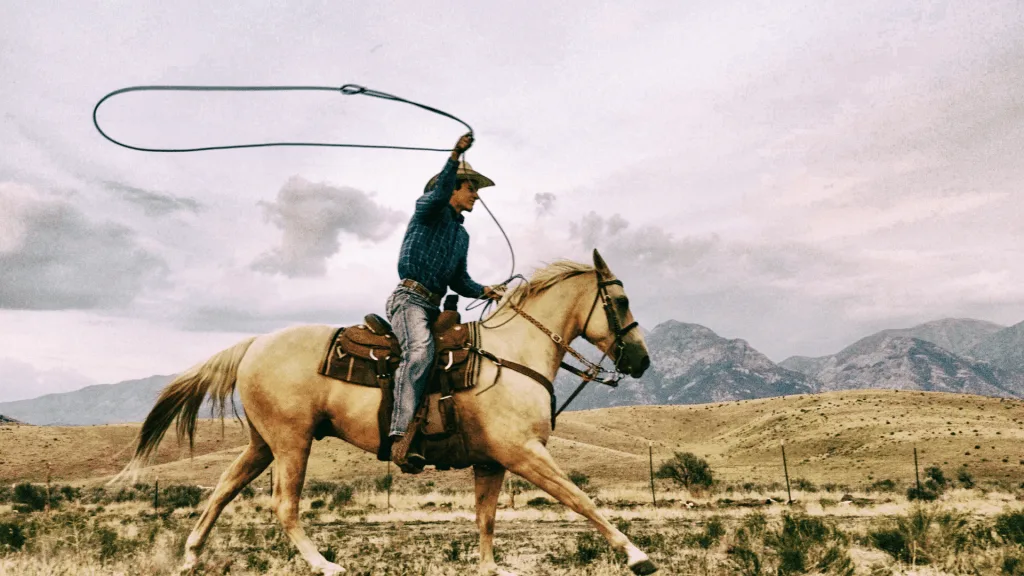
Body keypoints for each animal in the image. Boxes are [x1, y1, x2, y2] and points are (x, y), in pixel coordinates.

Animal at [116, 250, 651, 573]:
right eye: (621, 300)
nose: (642, 361)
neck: (512, 354)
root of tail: (254, 344)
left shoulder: (491, 462)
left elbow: (486, 520)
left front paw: (489, 568)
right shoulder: (524, 453)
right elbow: (581, 501)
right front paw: (637, 556)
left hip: (262, 443)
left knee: (224, 488)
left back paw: (190, 557)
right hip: (292, 442)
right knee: (284, 506)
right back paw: (325, 565)